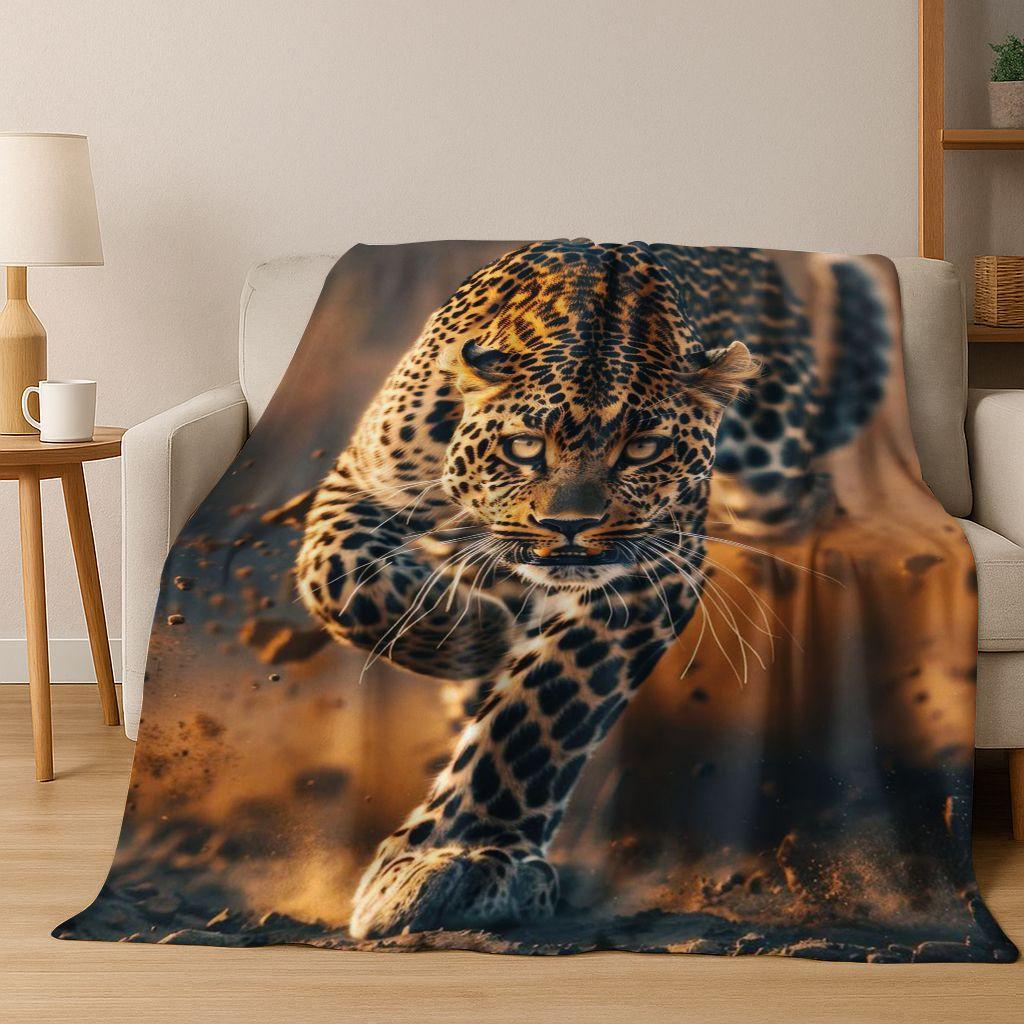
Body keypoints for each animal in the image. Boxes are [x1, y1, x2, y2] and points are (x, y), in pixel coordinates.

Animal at [295, 239, 891, 940]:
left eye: (644, 449)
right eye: (525, 446)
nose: (569, 527)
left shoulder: (652, 571)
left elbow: (538, 710)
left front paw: (459, 857)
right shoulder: (364, 482)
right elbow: (335, 578)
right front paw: (475, 633)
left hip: (773, 469)